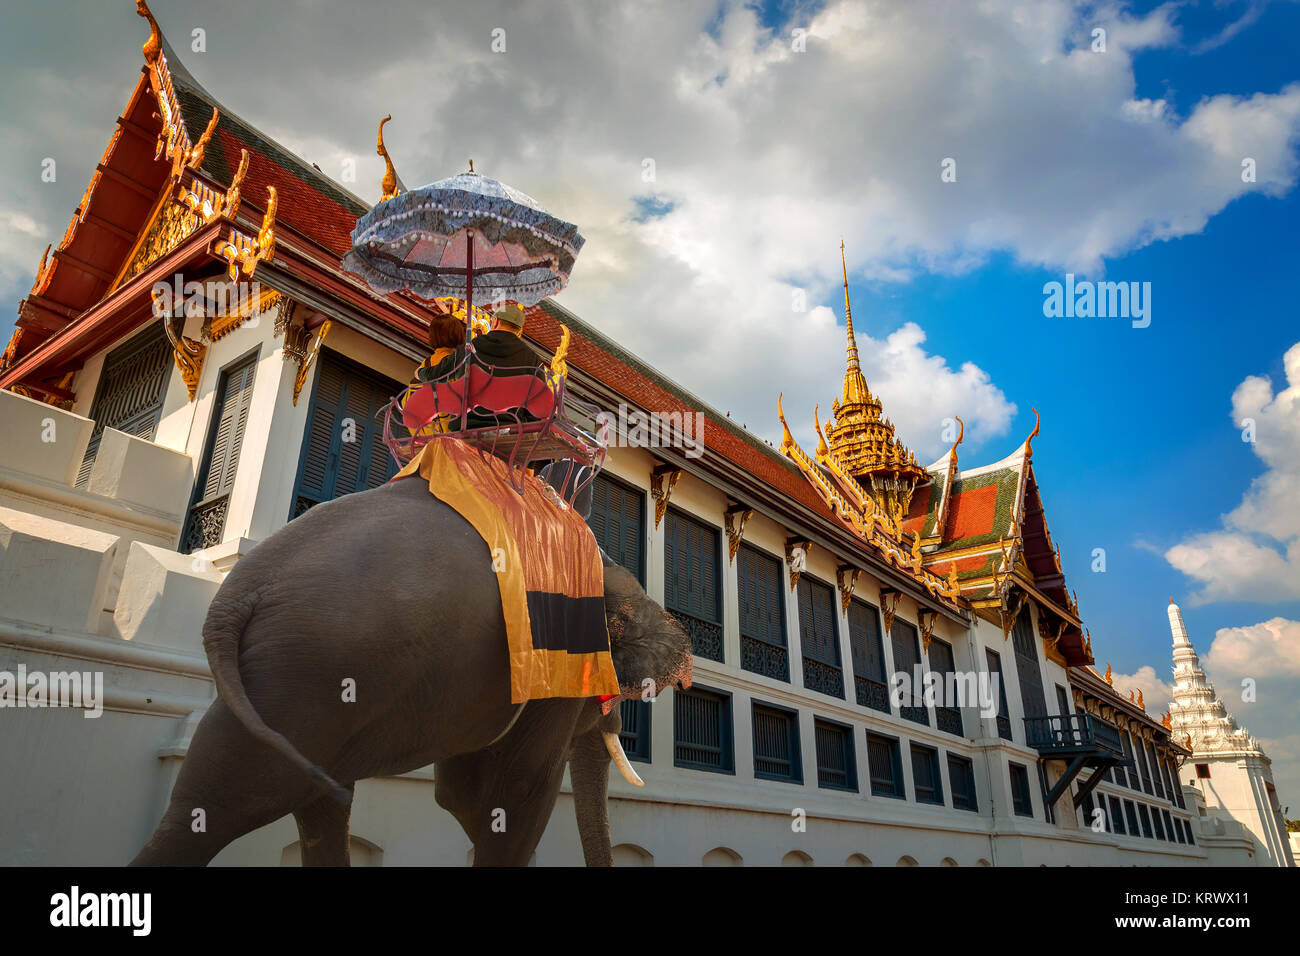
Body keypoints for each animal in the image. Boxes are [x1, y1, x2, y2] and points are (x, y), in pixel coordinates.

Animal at [133, 476, 696, 868]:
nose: (613, 724)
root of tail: (236, 594)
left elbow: (466, 794)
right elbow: (510, 794)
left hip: (272, 680)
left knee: (225, 799)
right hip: (309, 672)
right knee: (246, 799)